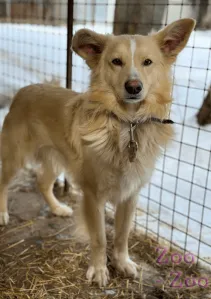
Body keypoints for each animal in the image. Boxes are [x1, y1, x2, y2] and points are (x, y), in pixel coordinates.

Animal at [0, 18, 195, 286]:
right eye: (116, 61)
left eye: (147, 62)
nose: (134, 87)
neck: (127, 124)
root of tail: (23, 90)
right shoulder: (93, 194)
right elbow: (101, 238)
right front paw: (100, 269)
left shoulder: (130, 194)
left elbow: (122, 235)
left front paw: (123, 263)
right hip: (15, 156)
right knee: (3, 183)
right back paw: (2, 213)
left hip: (55, 159)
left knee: (42, 183)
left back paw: (57, 208)